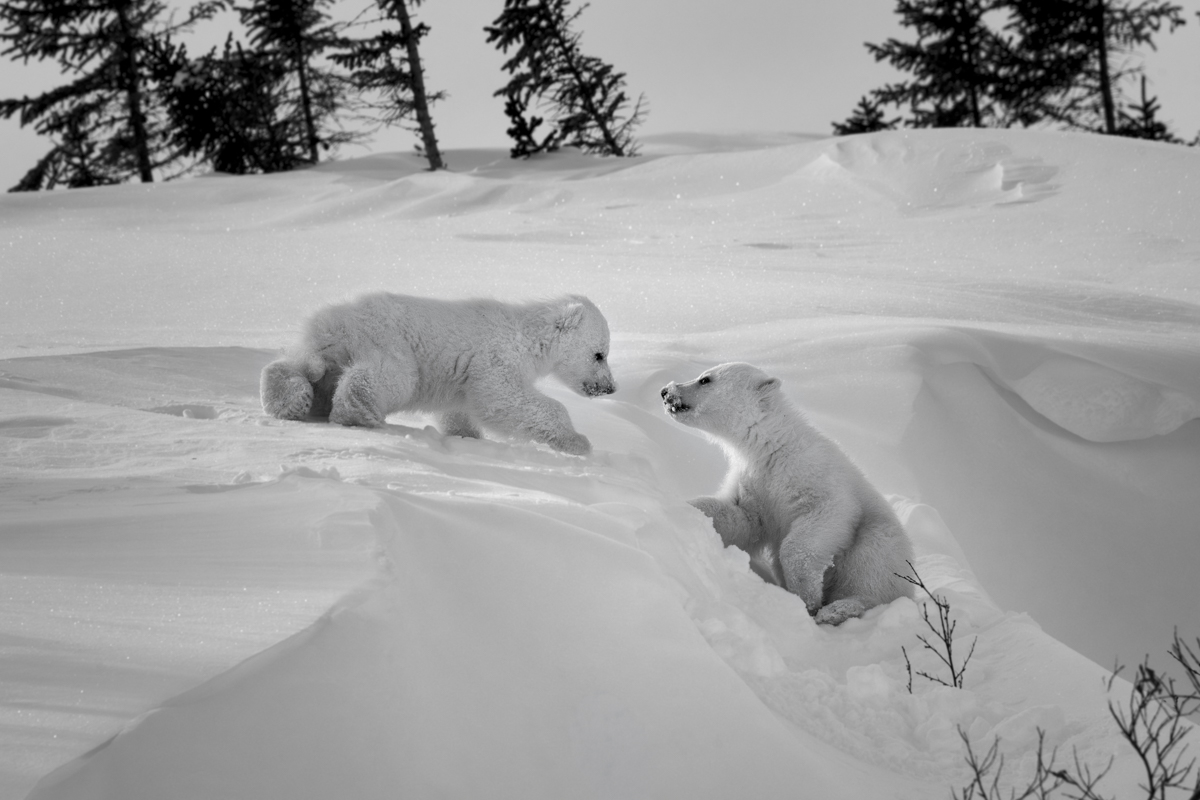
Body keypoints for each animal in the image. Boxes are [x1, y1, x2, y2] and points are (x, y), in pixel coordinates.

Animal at [260, 292, 616, 455]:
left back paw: (292, 401)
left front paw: (468, 436)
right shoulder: (495, 358)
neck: (526, 336)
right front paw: (578, 441)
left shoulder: (464, 378)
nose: (610, 388)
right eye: (600, 354)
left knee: (303, 368)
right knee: (389, 377)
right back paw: (358, 414)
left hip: (325, 345)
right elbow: (503, 399)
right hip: (387, 342)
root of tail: (334, 327)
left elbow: (461, 410)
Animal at [660, 362, 914, 625]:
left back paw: (838, 609)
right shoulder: (755, 483)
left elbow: (823, 516)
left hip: (882, 537)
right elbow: (741, 517)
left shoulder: (811, 472)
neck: (773, 445)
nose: (665, 391)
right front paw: (683, 508)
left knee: (872, 568)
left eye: (705, 379)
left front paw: (808, 598)